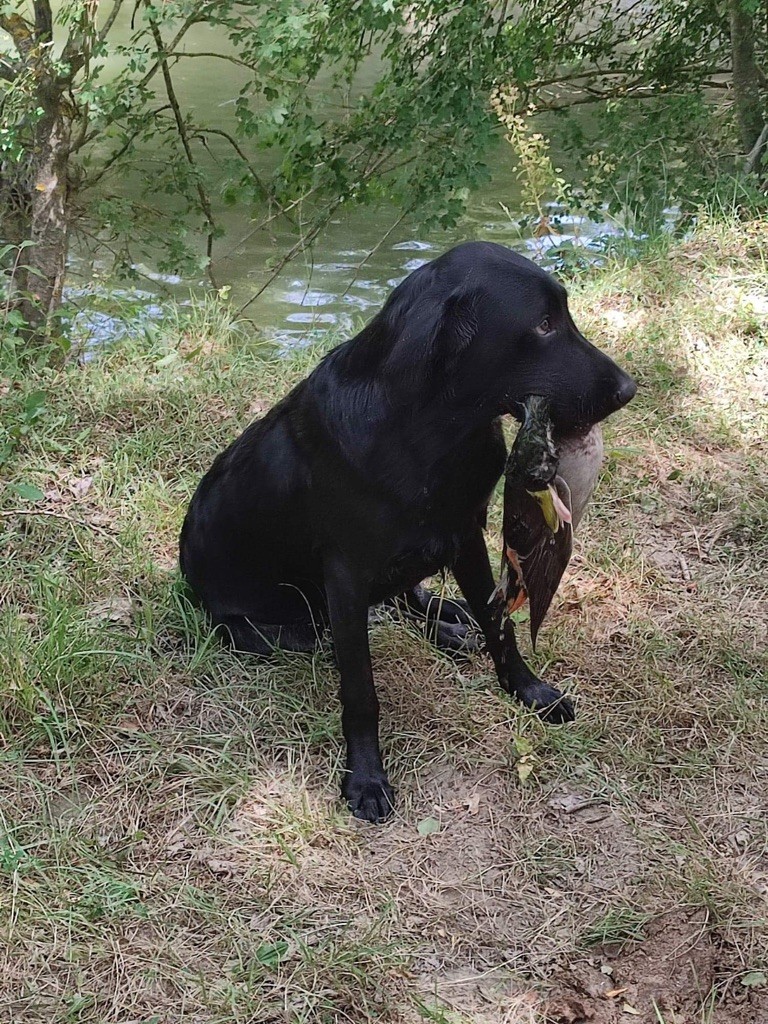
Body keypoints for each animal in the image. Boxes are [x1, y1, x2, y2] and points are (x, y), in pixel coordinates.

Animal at [182, 241, 638, 823]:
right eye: (542, 324)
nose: (628, 389)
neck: (431, 435)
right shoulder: (346, 574)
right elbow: (360, 689)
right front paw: (366, 778)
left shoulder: (465, 536)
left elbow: (501, 628)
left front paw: (528, 691)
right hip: (270, 624)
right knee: (324, 633)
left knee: (410, 600)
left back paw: (448, 623)